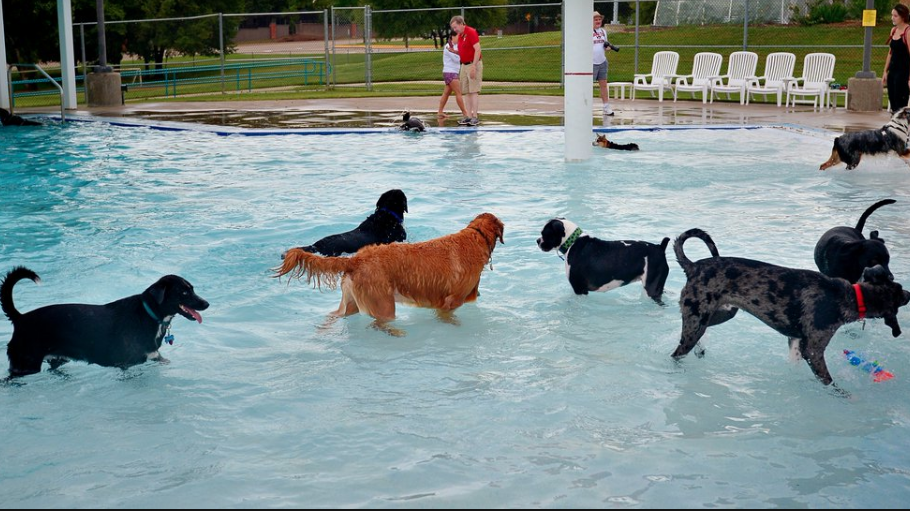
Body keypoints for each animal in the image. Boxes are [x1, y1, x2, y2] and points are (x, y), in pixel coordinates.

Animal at [1, 268, 210, 380]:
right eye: (184, 292)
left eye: (192, 289)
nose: (207, 304)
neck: (148, 314)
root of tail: (20, 317)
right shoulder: (127, 365)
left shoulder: (154, 357)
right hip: (25, 365)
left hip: (56, 359)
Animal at [278, 212, 506, 336]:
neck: (476, 236)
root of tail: (354, 259)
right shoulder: (449, 302)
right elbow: (448, 317)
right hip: (383, 305)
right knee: (377, 324)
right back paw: (397, 333)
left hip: (350, 302)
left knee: (336, 315)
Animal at [536, 219, 672, 306]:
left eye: (544, 234)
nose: (537, 240)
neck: (572, 242)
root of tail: (660, 247)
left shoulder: (580, 290)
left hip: (650, 288)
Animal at [668, 229, 910, 388]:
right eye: (898, 292)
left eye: (897, 285)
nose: (909, 294)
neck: (851, 295)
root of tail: (692, 266)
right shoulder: (813, 348)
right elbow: (829, 382)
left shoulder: (795, 341)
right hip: (697, 321)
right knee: (676, 353)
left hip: (721, 313)